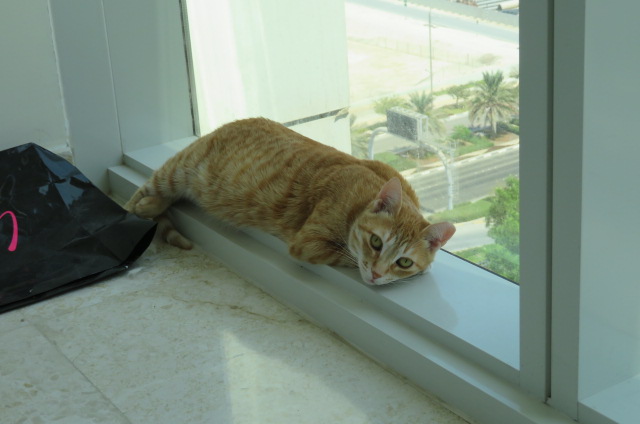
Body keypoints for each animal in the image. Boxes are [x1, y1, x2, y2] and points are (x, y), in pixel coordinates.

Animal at [126, 117, 456, 286]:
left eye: (404, 262)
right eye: (376, 242)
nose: (376, 274)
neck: (359, 201)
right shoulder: (308, 243)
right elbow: (344, 254)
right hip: (176, 171)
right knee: (136, 200)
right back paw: (140, 211)